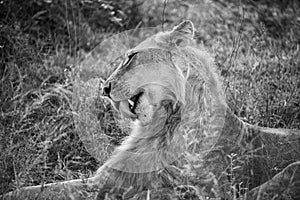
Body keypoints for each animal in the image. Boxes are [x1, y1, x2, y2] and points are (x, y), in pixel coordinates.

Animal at [2, 20, 300, 200]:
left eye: (131, 57)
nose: (105, 87)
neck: (161, 126)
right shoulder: (106, 180)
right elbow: (41, 189)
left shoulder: (191, 189)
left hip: (291, 169)